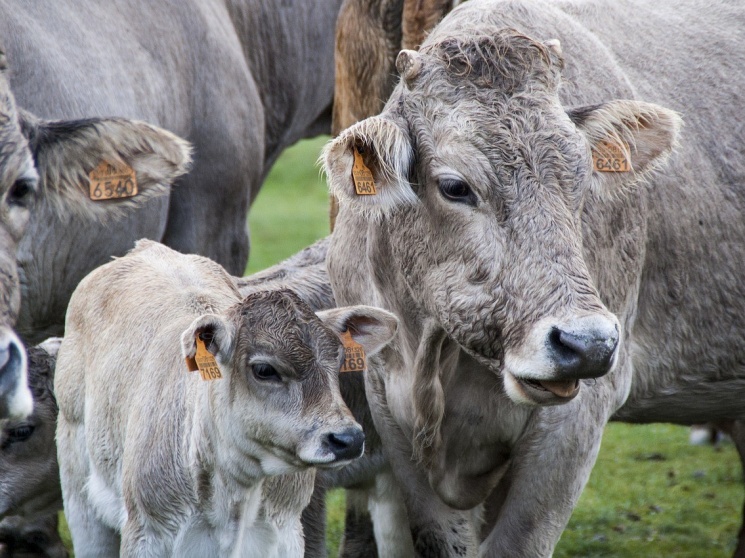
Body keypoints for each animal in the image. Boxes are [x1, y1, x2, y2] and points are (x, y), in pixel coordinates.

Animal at [54, 242, 398, 558]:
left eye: (338, 360)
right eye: (264, 369)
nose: (347, 439)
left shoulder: (287, 531)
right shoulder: (146, 533)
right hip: (78, 493)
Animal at [322, 0, 744, 556]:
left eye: (583, 177)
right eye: (455, 186)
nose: (587, 344)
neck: (436, 355)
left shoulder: (575, 421)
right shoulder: (387, 408)